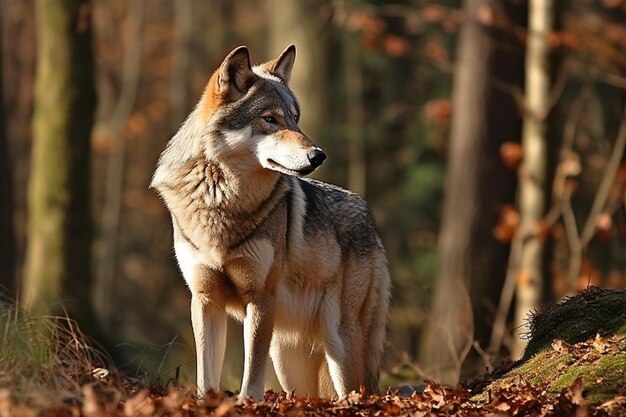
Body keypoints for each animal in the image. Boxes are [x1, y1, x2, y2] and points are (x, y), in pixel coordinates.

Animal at [149, 44, 388, 398]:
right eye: (270, 119)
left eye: (295, 119)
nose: (318, 155)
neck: (222, 199)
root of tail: (370, 220)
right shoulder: (205, 301)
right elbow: (206, 378)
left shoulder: (260, 299)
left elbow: (251, 379)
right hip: (289, 359)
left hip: (340, 345)